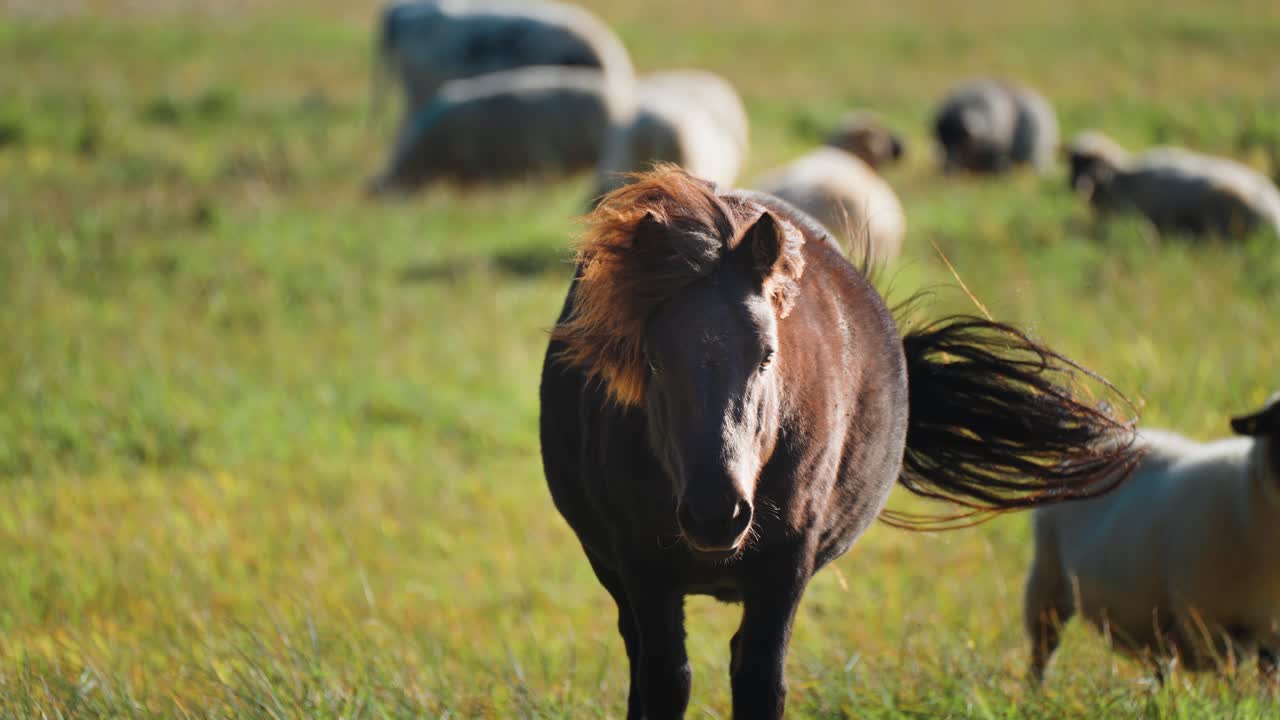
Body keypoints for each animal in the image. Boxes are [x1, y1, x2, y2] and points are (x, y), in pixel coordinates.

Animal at [539, 167, 1142, 719]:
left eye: (767, 355)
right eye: (653, 361)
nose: (716, 514)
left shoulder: (786, 563)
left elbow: (760, 682)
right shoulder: (641, 566)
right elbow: (666, 680)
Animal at [1024, 392, 1280, 685]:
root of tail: (1103, 438)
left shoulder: (1271, 632)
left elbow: (1268, 679)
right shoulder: (1209, 623)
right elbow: (1230, 679)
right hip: (1048, 578)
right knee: (1042, 648)